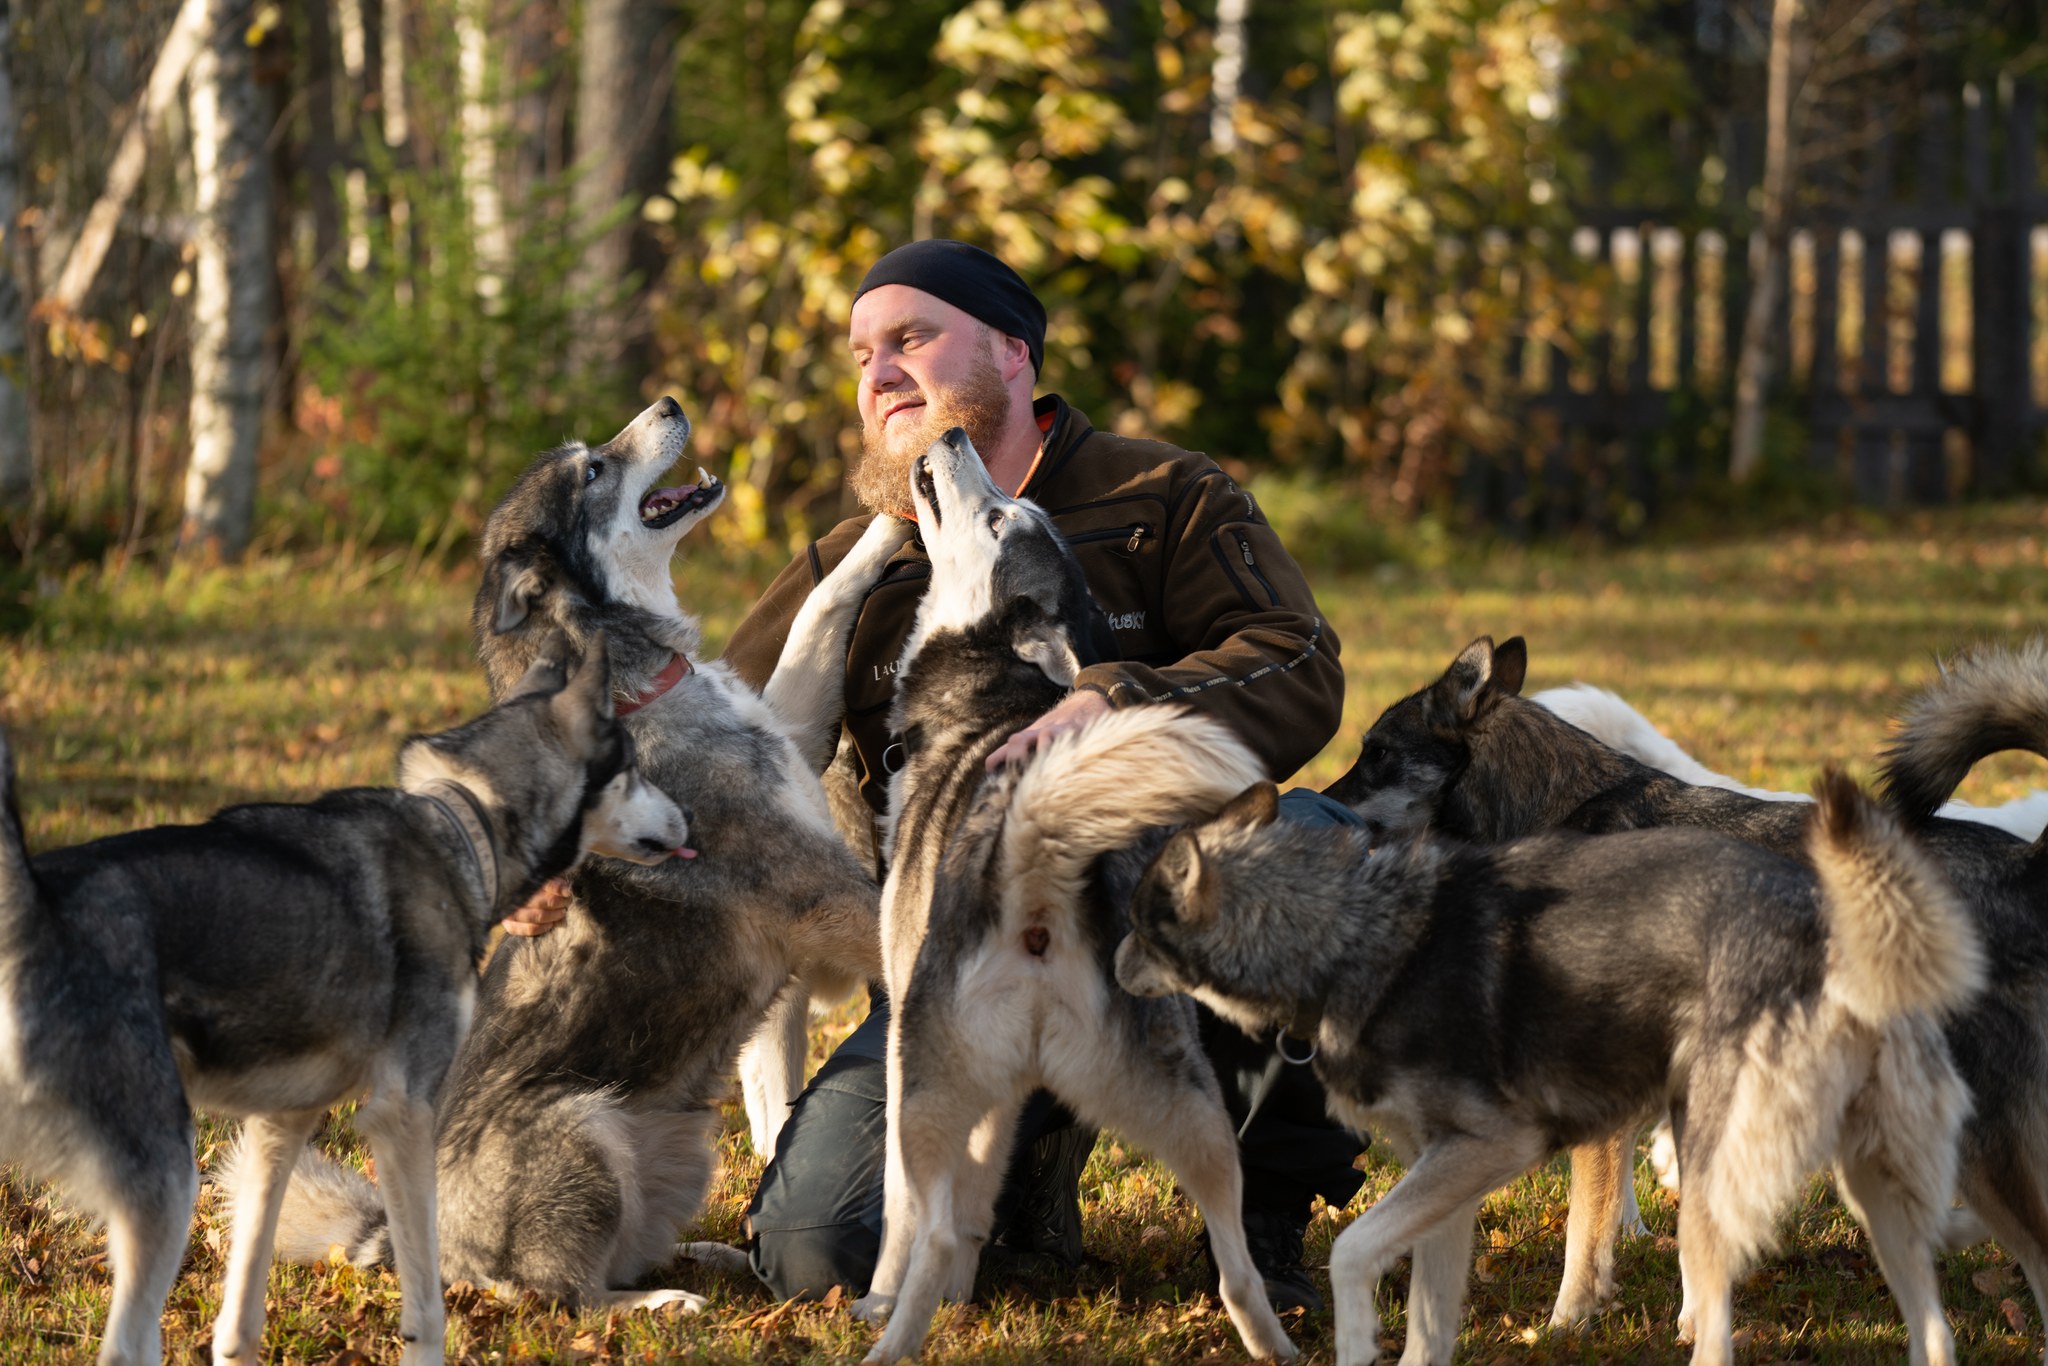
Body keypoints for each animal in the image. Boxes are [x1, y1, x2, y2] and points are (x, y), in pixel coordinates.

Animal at [0, 647, 688, 1366]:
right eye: (635, 771)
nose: (689, 820)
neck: (462, 822)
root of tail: (32, 910)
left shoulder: (278, 1127)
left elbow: (239, 1318)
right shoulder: (403, 1117)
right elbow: (428, 1308)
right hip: (166, 1188)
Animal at [272, 397, 905, 1310]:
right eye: (594, 470)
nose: (670, 402)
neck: (646, 689)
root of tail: (409, 1242)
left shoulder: (797, 721)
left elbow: (826, 596)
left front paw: (899, 508)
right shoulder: (817, 892)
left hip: (681, 1144)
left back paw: (711, 1260)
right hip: (587, 1131)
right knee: (561, 1294)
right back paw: (660, 1305)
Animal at [847, 432, 1294, 1366]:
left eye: (998, 518)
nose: (952, 437)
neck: (992, 689)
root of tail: (1043, 877)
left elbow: (919, 1219)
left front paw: (893, 1299)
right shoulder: (1005, 1094)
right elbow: (979, 1200)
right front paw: (965, 1294)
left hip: (924, 1088)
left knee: (923, 1224)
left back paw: (886, 1339)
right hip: (1190, 1108)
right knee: (1235, 1264)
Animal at [1122, 770, 1982, 1366]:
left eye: (1137, 921)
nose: (1112, 966)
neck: (1350, 931)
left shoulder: (1494, 1146)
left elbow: (1352, 1250)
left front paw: (1358, 1335)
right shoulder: (1447, 1176)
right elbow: (1428, 1323)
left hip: (1718, 1171)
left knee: (1713, 1319)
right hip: (1872, 1190)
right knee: (1936, 1332)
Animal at [1327, 634, 2048, 1351]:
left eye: (1377, 752)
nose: (1318, 804)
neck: (1550, 809)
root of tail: (2030, 862)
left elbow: (1585, 1226)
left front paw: (1567, 1322)